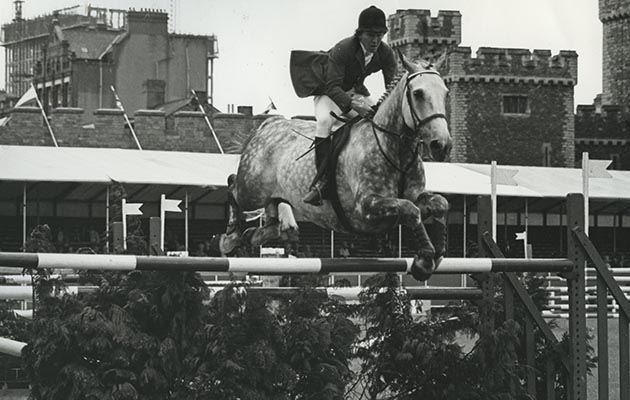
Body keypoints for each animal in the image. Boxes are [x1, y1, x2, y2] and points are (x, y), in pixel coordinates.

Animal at [222, 54, 454, 282]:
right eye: (418, 93)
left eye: (445, 93)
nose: (441, 145)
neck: (396, 149)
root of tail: (268, 125)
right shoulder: (366, 206)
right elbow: (412, 210)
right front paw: (425, 260)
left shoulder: (413, 195)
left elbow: (439, 204)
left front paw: (437, 253)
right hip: (252, 190)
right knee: (233, 185)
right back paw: (230, 237)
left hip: (272, 196)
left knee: (273, 225)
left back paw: (252, 235)